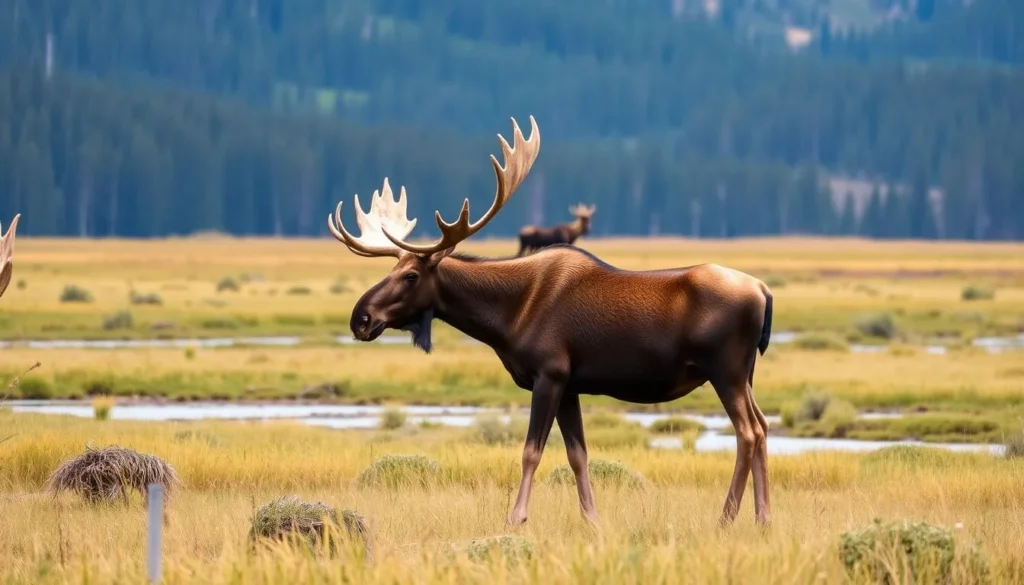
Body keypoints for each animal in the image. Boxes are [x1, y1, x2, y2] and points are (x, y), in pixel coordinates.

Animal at [326, 117, 775, 528]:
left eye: (410, 275)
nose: (360, 318)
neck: (505, 319)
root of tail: (763, 291)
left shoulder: (550, 373)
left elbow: (531, 451)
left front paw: (515, 519)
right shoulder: (571, 383)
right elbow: (578, 455)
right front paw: (592, 520)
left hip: (725, 368)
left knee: (748, 432)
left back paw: (727, 518)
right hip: (746, 373)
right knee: (764, 426)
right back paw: (763, 518)